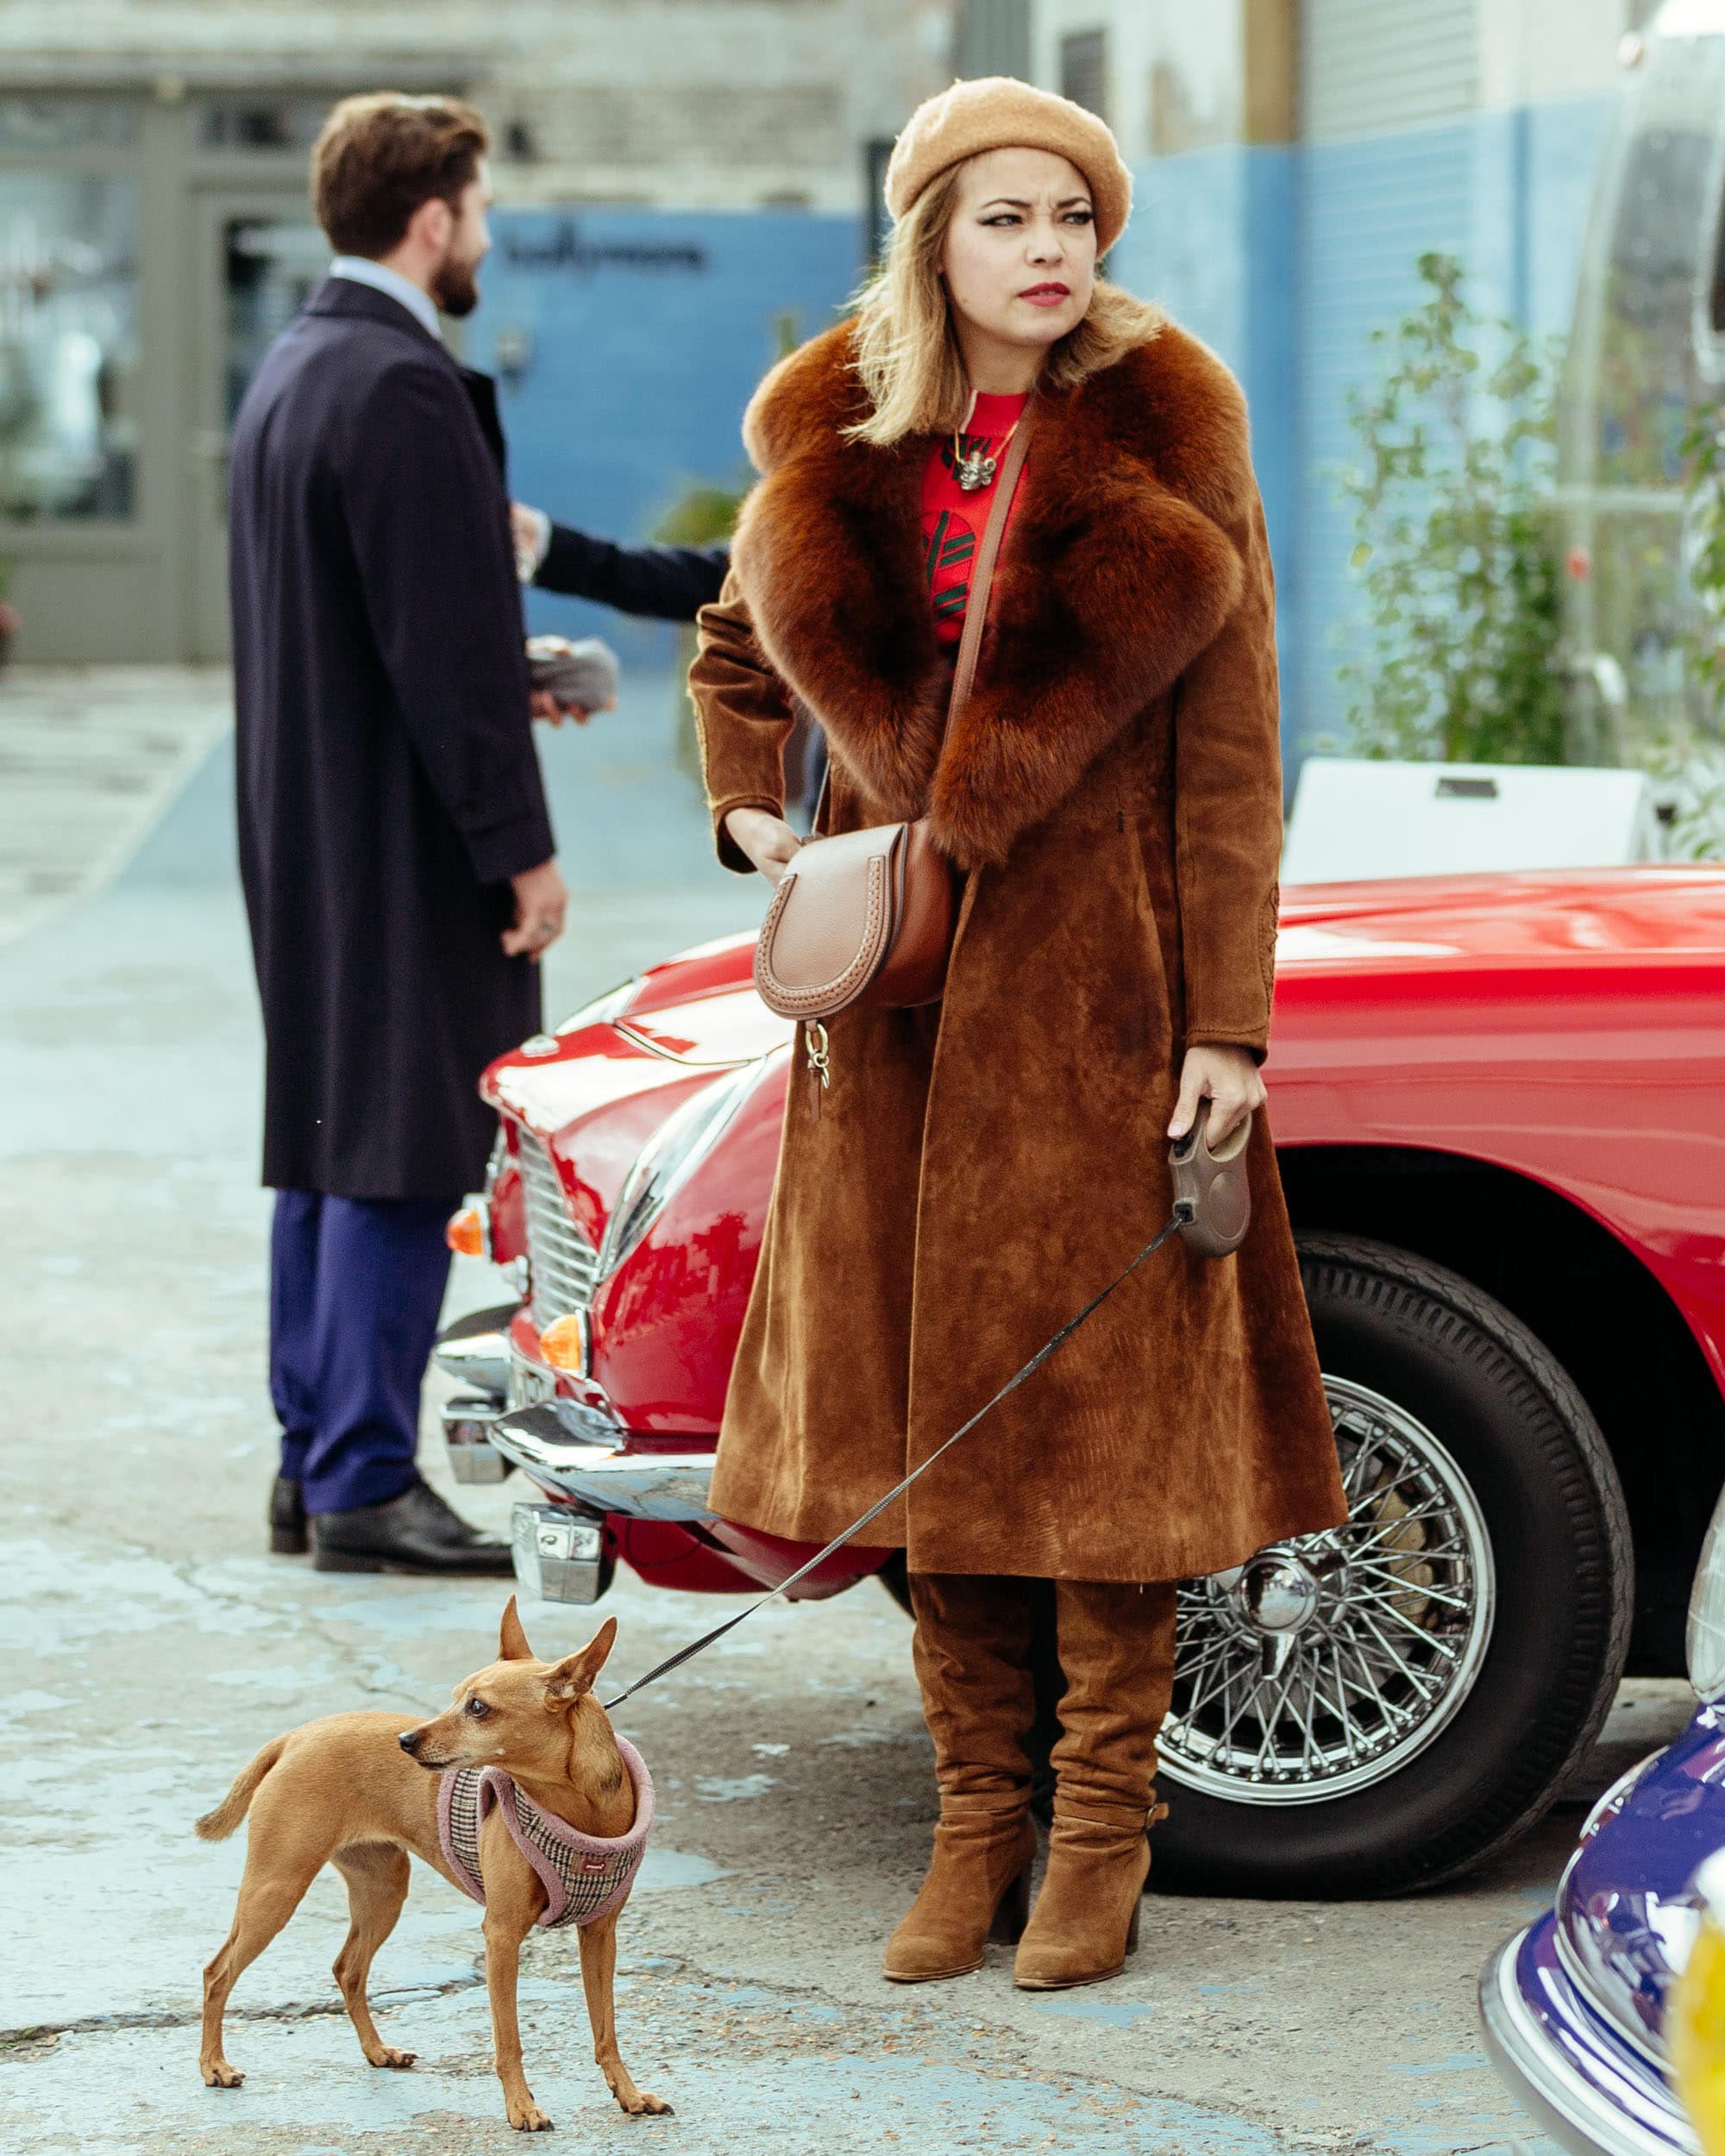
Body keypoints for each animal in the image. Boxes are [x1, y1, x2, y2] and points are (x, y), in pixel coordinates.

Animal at [194, 1604, 668, 2122]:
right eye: (456, 1698)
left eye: (477, 1707)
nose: (405, 1740)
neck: (578, 1810)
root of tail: (295, 1737)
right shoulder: (502, 1935)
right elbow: (509, 2040)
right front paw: (521, 2108)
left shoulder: (600, 1935)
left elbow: (606, 2030)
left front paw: (629, 2094)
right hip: (276, 1889)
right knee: (217, 1973)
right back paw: (214, 2066)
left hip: (382, 1892)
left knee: (348, 1969)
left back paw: (377, 2051)